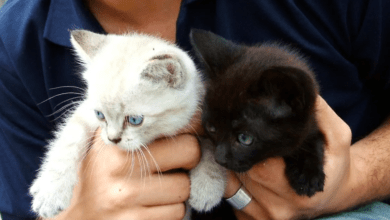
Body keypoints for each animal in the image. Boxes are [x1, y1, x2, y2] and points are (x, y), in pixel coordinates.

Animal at [190, 29, 324, 199]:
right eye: (211, 128)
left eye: (245, 138)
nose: (219, 158)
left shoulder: (310, 122)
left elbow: (315, 138)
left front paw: (307, 173)